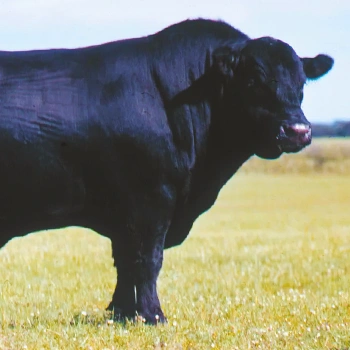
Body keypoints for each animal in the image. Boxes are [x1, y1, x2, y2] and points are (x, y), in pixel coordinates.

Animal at [0, 19, 332, 324]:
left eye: (301, 84)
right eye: (253, 81)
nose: (297, 131)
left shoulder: (125, 213)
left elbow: (125, 260)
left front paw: (122, 313)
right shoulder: (151, 200)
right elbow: (148, 259)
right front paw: (152, 314)